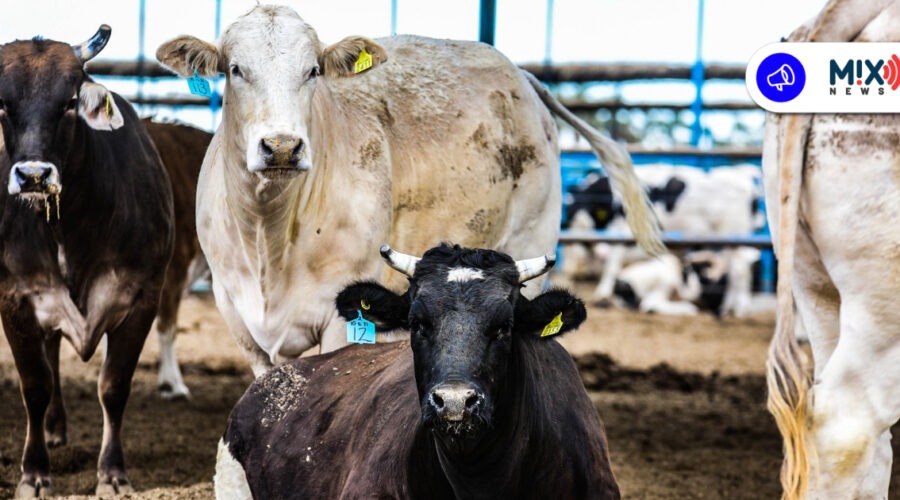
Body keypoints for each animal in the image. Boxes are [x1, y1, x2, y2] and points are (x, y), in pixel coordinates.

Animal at [0, 27, 174, 497]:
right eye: (3, 103)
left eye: (69, 102)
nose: (34, 175)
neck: (67, 230)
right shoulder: (15, 300)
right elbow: (35, 385)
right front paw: (34, 473)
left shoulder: (142, 299)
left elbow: (113, 386)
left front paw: (112, 473)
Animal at [155, 4, 663, 376]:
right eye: (235, 69)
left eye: (313, 70)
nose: (282, 146)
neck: (270, 236)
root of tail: (520, 74)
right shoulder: (239, 320)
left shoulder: (341, 319)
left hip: (529, 251)